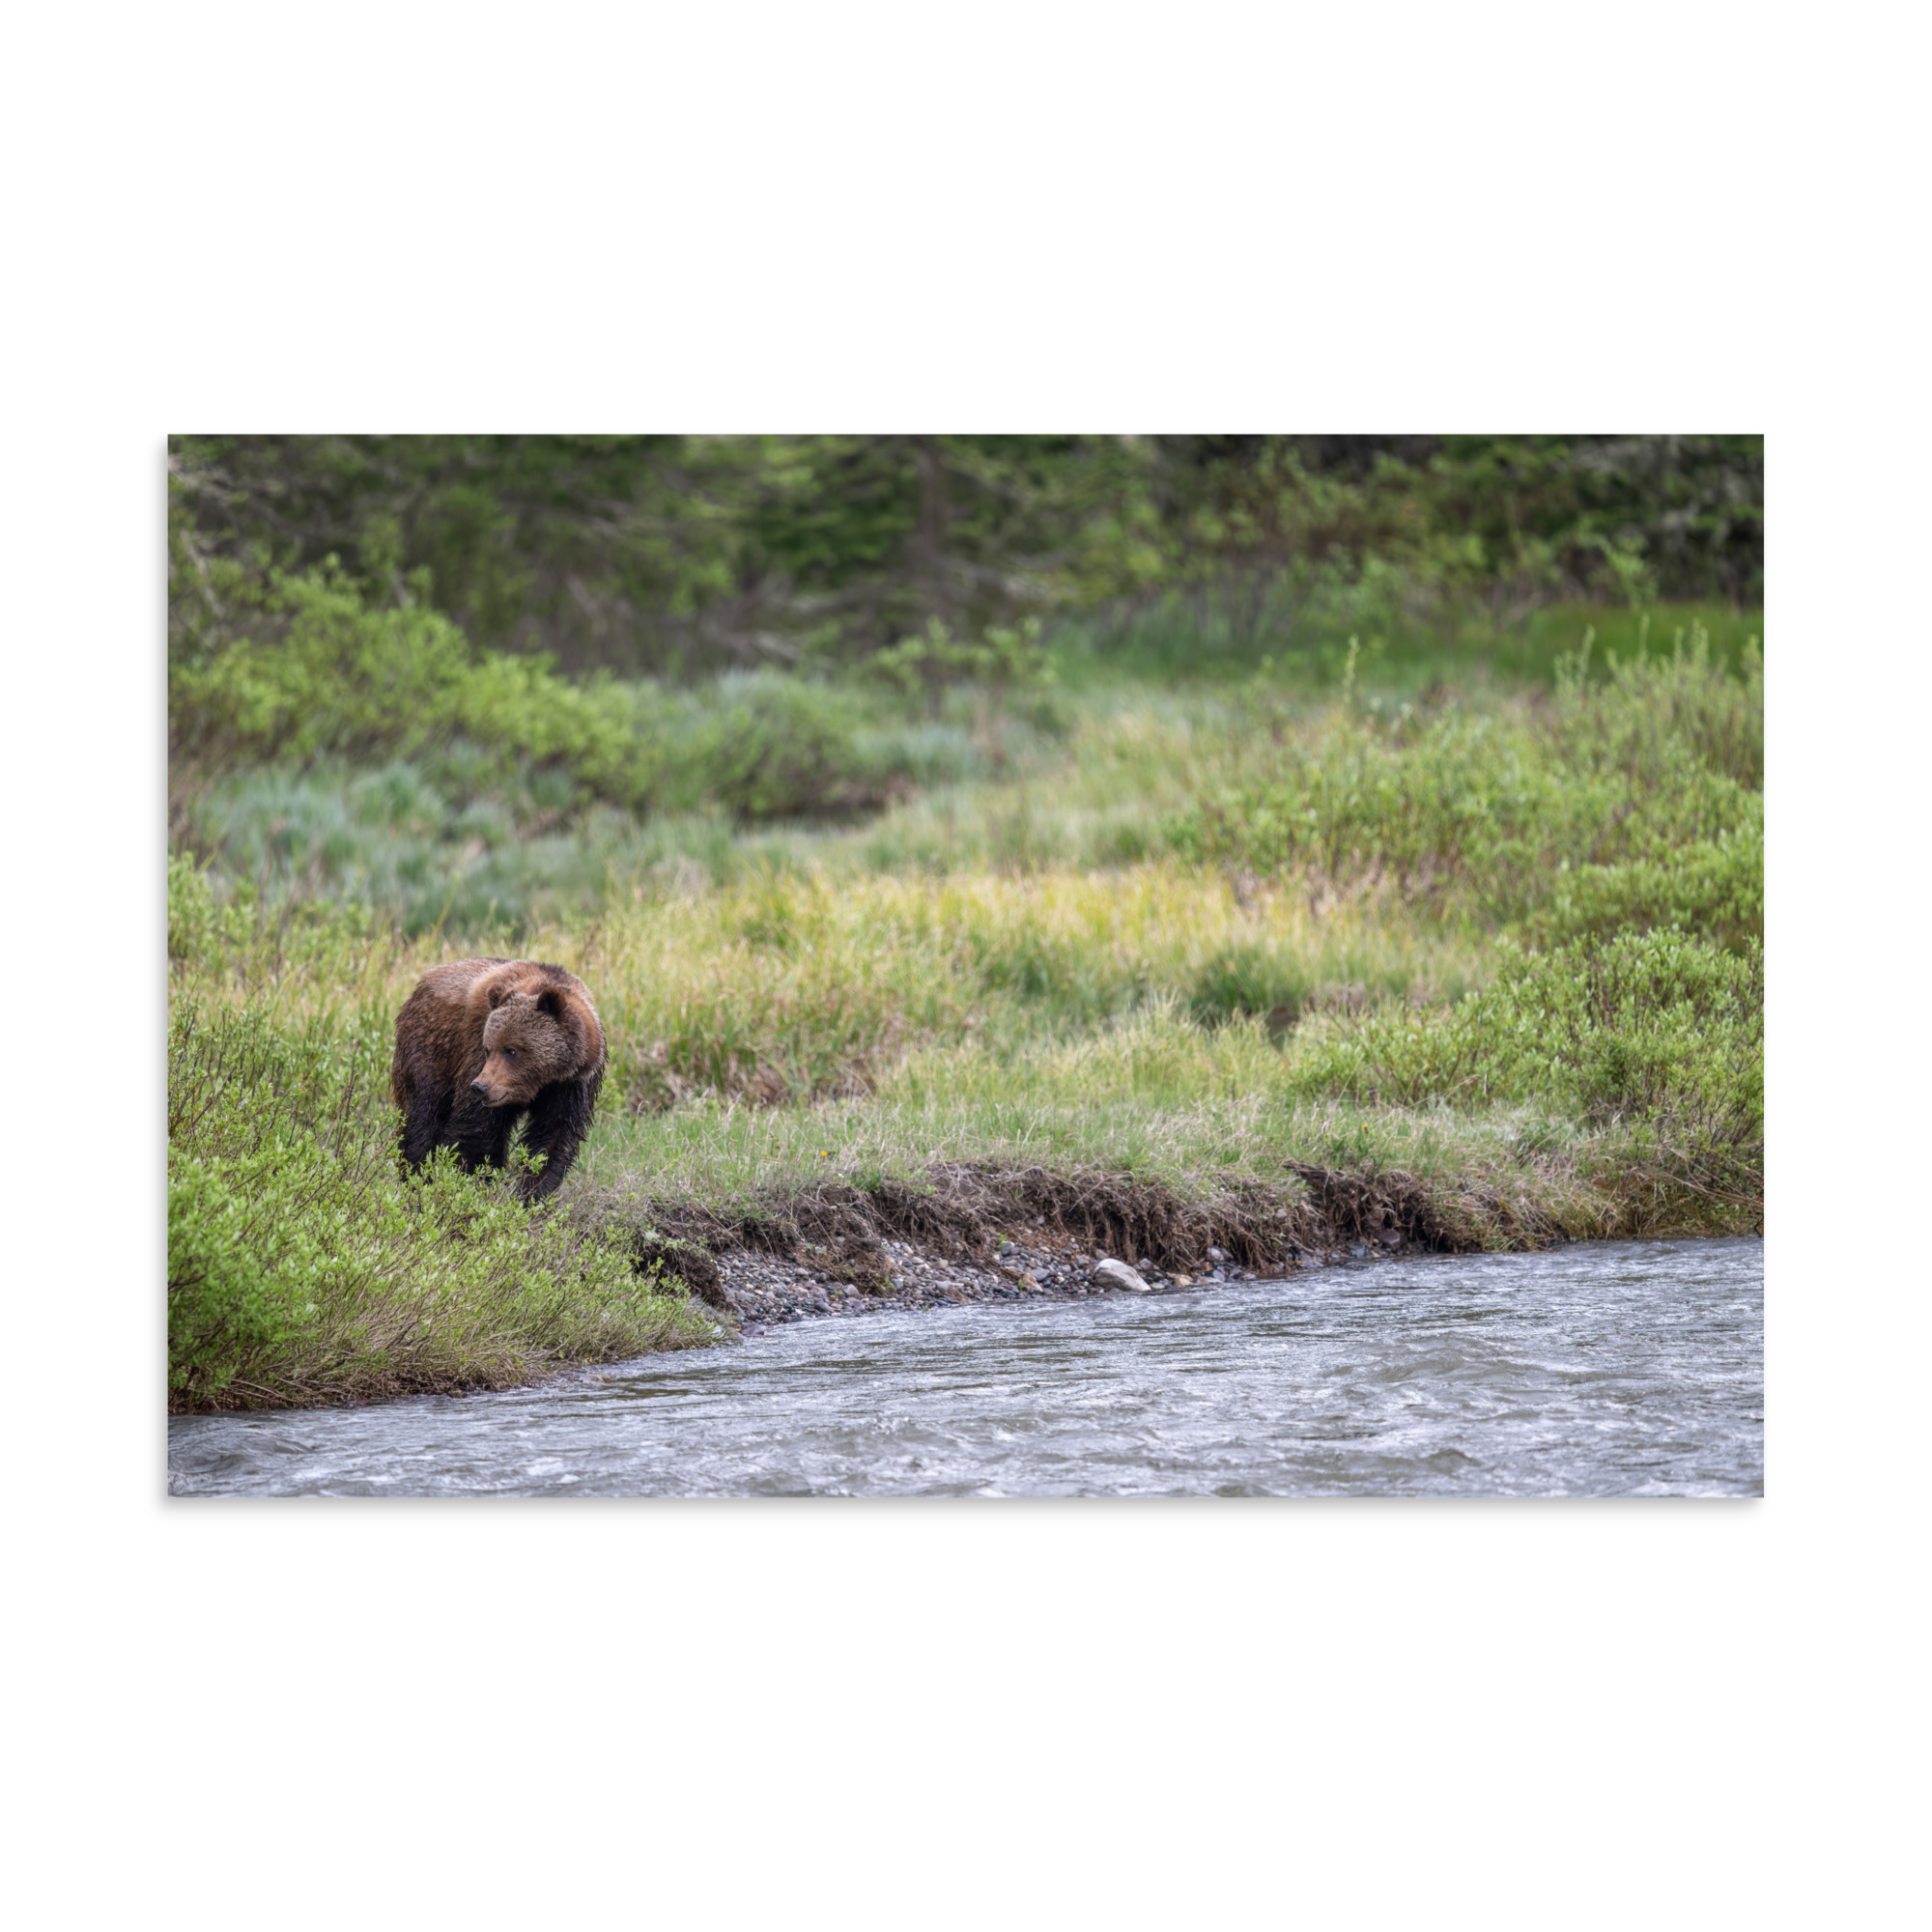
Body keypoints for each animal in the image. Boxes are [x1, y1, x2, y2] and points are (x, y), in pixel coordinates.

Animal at [391, 957, 606, 1200]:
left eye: (511, 1050)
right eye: (488, 1049)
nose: (480, 1087)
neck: (543, 1081)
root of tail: (422, 982)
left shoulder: (572, 1086)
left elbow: (552, 1139)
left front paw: (532, 1194)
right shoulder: (475, 1053)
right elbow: (477, 1130)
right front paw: (475, 1184)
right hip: (431, 1050)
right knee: (422, 1118)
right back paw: (416, 1180)